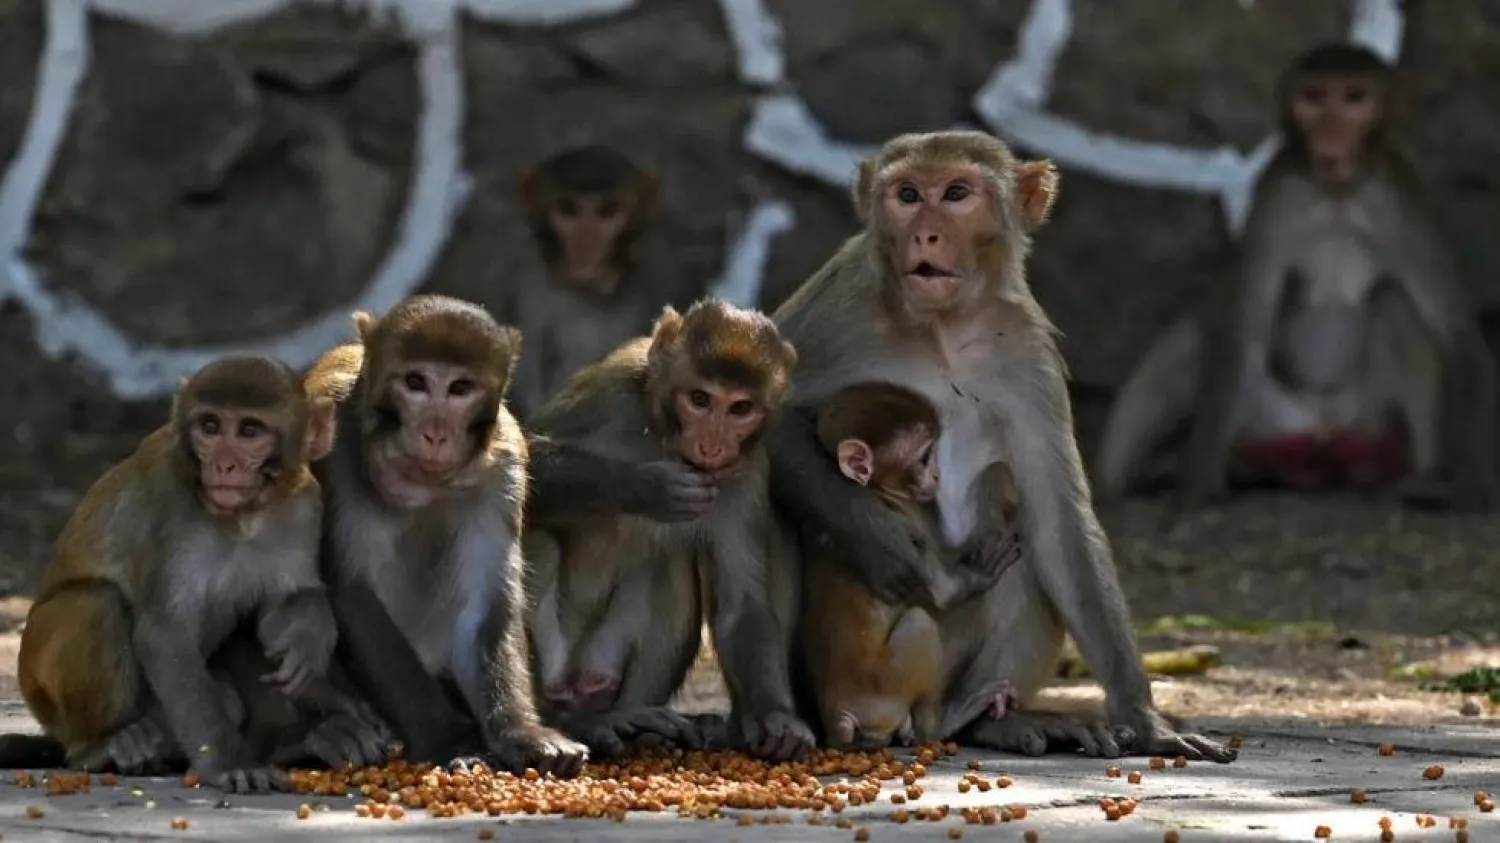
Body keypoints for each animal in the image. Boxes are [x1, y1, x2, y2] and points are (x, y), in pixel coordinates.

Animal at [5, 356, 390, 791]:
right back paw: (101, 745)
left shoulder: (304, 504)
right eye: (210, 426)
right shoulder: (169, 505)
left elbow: (287, 602)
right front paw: (231, 763)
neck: (243, 518)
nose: (223, 464)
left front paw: (308, 646)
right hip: (44, 689)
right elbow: (165, 634)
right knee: (96, 602)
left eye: (250, 431)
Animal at [306, 293, 589, 776]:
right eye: (415, 382)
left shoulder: (504, 467)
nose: (435, 433)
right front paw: (448, 740)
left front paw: (523, 734)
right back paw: (333, 734)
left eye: (460, 388)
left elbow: (484, 607)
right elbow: (353, 592)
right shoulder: (336, 447)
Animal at [522, 298, 811, 760]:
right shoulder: (611, 390)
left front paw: (777, 717)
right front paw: (648, 487)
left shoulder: (746, 474)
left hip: (601, 666)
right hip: (552, 668)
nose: (711, 446)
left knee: (671, 568)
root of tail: (572, 679)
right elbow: (526, 455)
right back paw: (570, 723)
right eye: (699, 399)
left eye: (740, 408)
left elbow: (741, 602)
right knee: (539, 542)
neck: (662, 439)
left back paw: (632, 722)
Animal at [801, 382, 1024, 750]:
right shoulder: (906, 525)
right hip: (887, 685)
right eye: (923, 457)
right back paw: (944, 724)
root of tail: (839, 715)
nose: (937, 474)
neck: (879, 489)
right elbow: (944, 590)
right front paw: (983, 569)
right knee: (920, 622)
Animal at [1095, 43, 1496, 511]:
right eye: (1314, 98)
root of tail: (1322, 431)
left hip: (1368, 418)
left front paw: (1476, 486)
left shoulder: (1402, 201)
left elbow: (1458, 334)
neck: (1336, 194)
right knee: (1195, 334)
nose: (1331, 134)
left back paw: (1422, 475)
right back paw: (1127, 481)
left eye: (1355, 98)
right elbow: (1242, 328)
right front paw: (1198, 484)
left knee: (1393, 304)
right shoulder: (1277, 195)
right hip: (1269, 419)